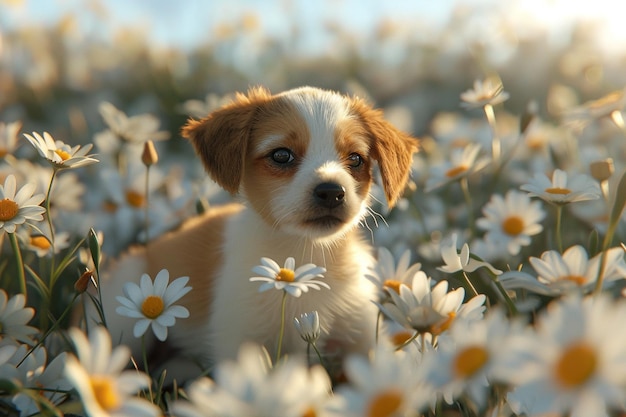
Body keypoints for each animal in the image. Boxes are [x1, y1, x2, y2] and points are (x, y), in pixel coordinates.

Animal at [95, 86, 416, 378]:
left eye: (355, 159)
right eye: (282, 155)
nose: (331, 192)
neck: (304, 258)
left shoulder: (360, 339)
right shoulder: (241, 342)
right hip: (125, 315)